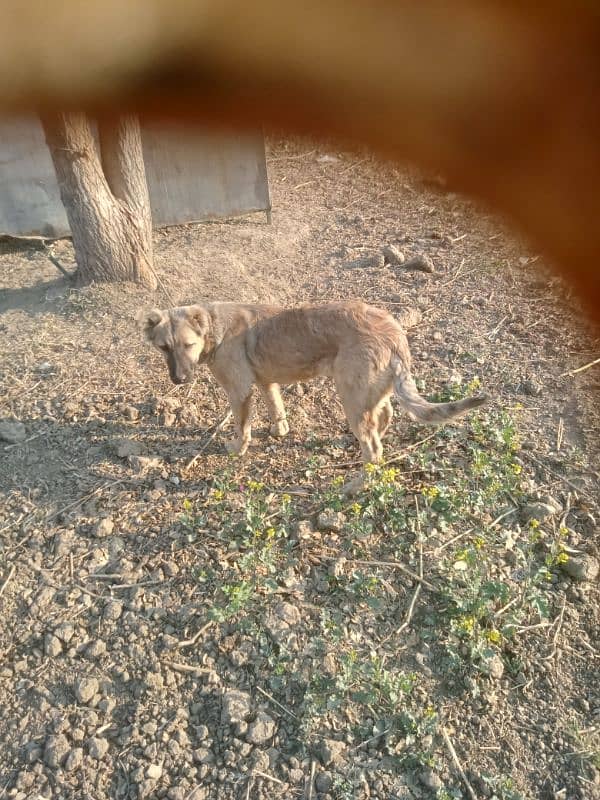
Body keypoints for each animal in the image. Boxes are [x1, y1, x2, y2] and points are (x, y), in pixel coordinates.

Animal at [142, 304, 488, 468]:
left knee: (374, 448)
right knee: (383, 417)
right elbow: (277, 409)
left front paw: (237, 449)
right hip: (367, 390)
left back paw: (356, 486)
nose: (179, 379)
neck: (216, 328)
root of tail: (395, 333)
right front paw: (279, 431)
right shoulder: (266, 383)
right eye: (163, 347)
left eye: (188, 345)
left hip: (350, 393)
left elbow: (242, 427)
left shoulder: (240, 392)